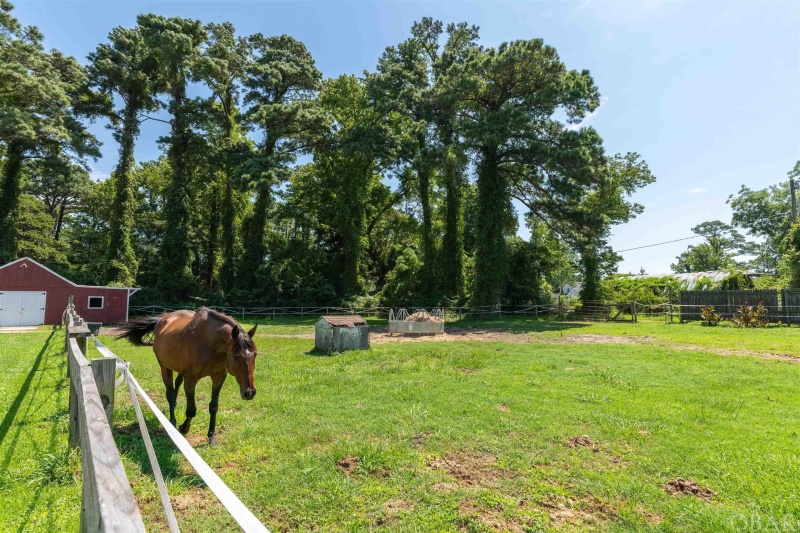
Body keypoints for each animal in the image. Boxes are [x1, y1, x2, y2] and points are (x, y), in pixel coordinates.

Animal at [115, 306, 258, 442]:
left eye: (255, 354)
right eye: (236, 356)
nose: (250, 392)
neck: (208, 344)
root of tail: (162, 319)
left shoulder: (219, 377)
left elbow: (213, 406)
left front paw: (211, 436)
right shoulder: (191, 379)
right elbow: (191, 410)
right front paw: (184, 428)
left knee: (177, 384)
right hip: (165, 367)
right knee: (170, 392)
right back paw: (172, 421)